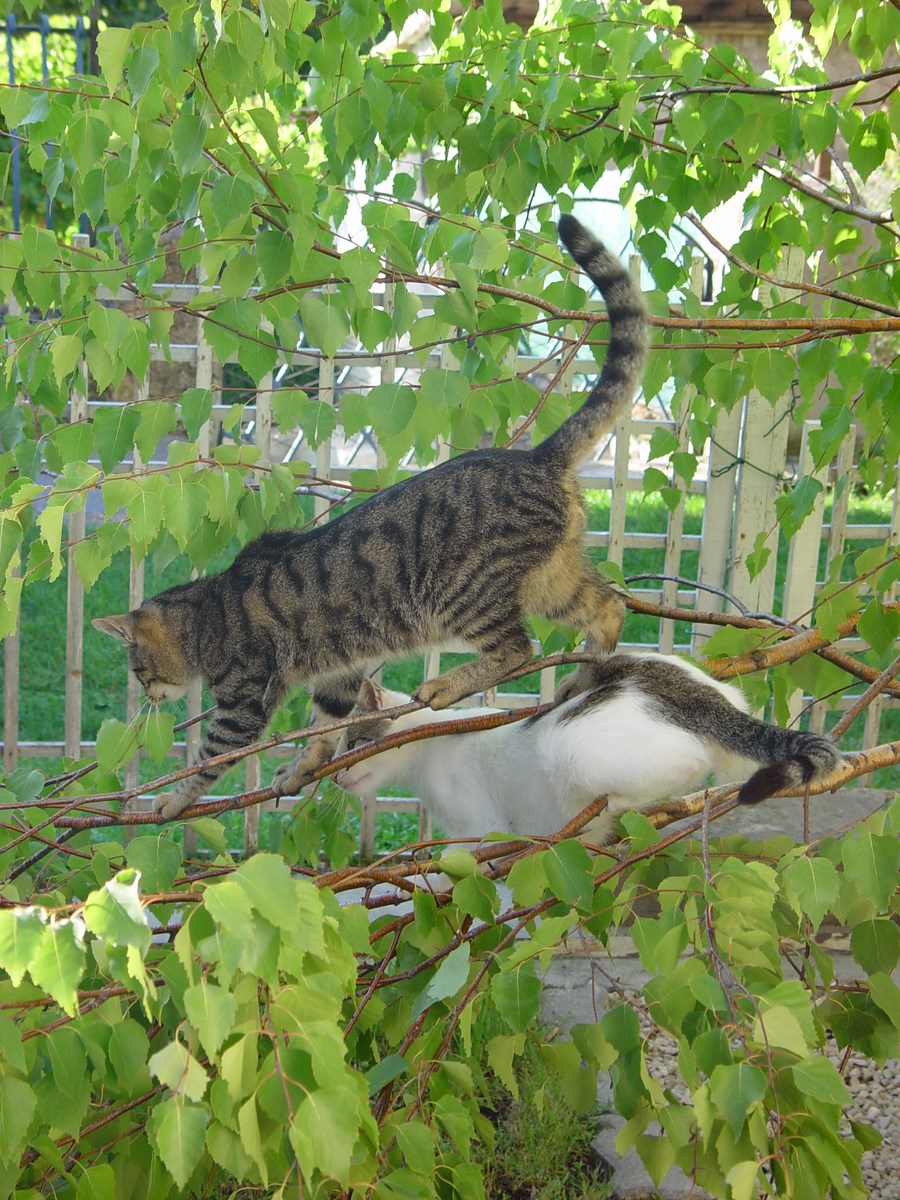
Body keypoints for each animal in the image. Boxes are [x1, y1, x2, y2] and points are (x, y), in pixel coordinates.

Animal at [95, 213, 648, 816]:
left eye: (138, 670)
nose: (148, 696)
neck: (207, 614)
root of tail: (534, 457)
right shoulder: (338, 677)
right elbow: (324, 734)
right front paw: (299, 770)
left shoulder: (244, 700)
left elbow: (210, 758)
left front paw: (172, 800)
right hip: (553, 581)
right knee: (608, 607)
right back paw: (585, 675)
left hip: (463, 593)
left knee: (517, 649)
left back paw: (449, 685)